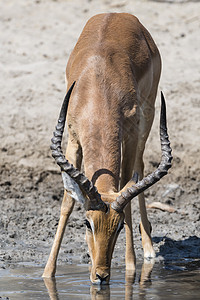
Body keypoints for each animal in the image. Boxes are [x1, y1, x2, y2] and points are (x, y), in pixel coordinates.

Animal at [43, 12, 173, 284]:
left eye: (119, 224)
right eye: (87, 223)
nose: (101, 275)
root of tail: (119, 14)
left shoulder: (131, 132)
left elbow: (127, 186)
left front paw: (131, 267)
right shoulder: (73, 138)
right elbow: (67, 201)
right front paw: (47, 273)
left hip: (149, 112)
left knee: (139, 167)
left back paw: (148, 249)